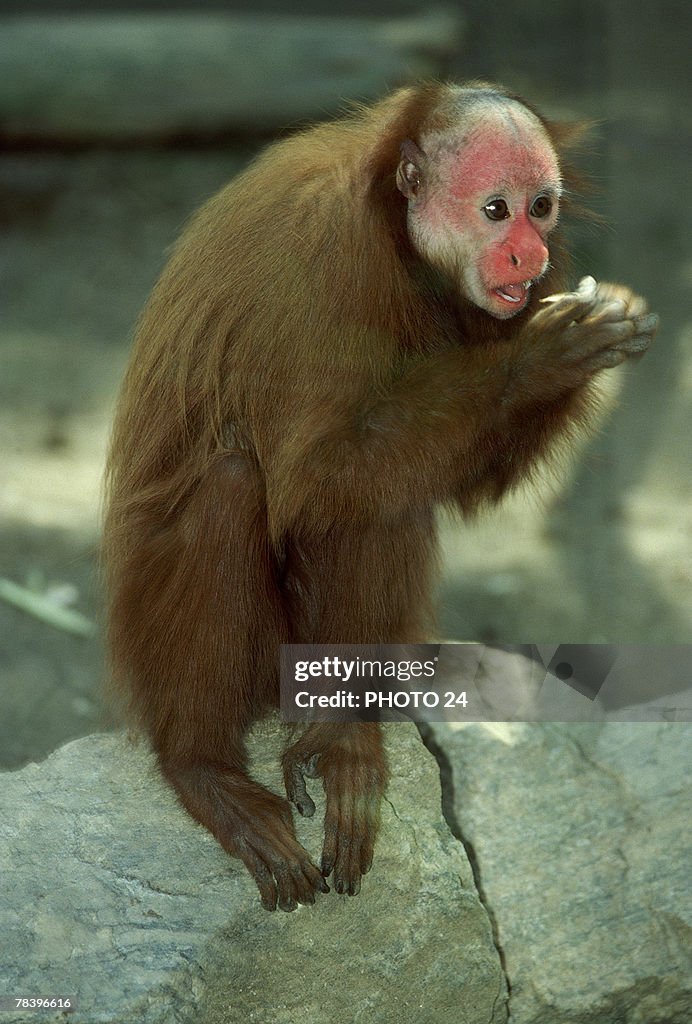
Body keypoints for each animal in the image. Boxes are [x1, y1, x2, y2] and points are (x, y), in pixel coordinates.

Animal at [103, 79, 659, 913]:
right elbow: (317, 473)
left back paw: (343, 731)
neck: (398, 240)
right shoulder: (320, 263)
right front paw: (538, 358)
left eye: (541, 208)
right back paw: (206, 767)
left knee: (384, 496)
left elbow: (447, 485)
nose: (528, 256)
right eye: (496, 209)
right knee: (246, 485)